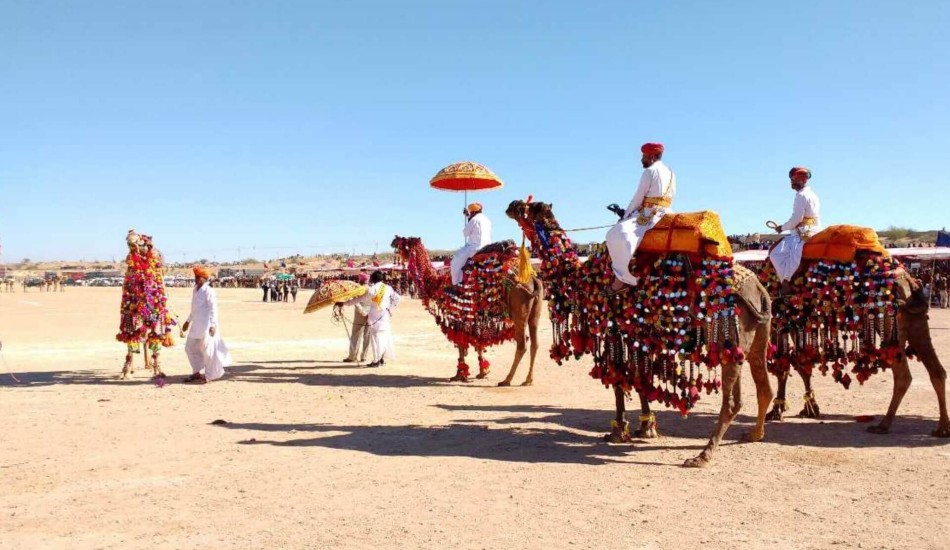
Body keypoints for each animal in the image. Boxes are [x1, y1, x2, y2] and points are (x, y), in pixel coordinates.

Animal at [117, 231, 177, 382]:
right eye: (128, 237)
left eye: (143, 240)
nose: (131, 238)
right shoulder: (130, 316)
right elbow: (130, 340)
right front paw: (125, 372)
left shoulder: (158, 316)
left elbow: (156, 338)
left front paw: (159, 372)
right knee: (140, 338)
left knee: (146, 339)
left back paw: (149, 365)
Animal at [394, 235, 544, 386]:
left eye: (404, 242)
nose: (393, 242)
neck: (437, 284)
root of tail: (533, 279)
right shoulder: (473, 317)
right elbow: (478, 342)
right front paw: (483, 372)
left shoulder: (458, 316)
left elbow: (461, 343)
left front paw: (459, 375)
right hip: (534, 314)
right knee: (535, 343)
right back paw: (528, 379)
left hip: (519, 313)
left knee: (522, 345)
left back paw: (507, 380)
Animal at [506, 201, 772, 468]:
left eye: (530, 206)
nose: (511, 205)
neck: (586, 279)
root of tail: (759, 288)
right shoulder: (638, 334)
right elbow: (640, 379)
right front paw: (646, 427)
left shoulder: (614, 329)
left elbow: (618, 380)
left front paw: (617, 431)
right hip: (754, 337)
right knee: (761, 386)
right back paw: (753, 434)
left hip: (727, 331)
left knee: (732, 401)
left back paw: (702, 455)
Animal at [760, 225, 950, 440]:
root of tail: (909, 281)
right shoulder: (796, 323)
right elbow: (801, 364)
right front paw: (809, 408)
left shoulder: (780, 321)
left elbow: (785, 366)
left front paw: (778, 411)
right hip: (916, 321)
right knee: (937, 371)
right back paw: (942, 428)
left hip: (889, 320)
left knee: (903, 375)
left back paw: (883, 425)